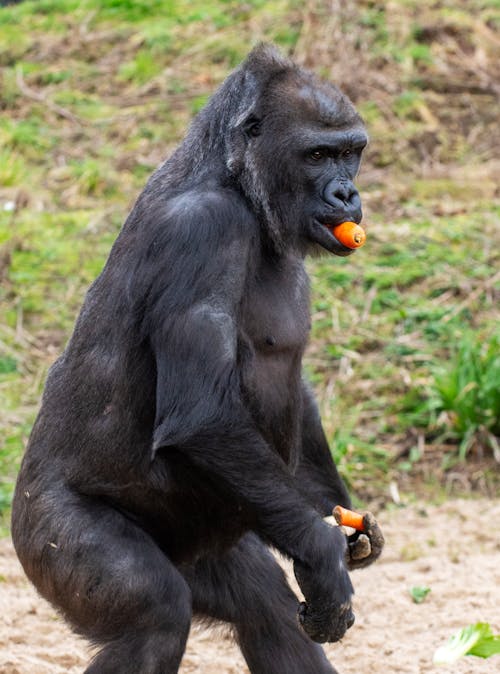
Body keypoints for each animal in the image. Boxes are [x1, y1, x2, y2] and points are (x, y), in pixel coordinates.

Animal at [13, 44, 384, 668]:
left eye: (350, 152)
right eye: (317, 154)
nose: (346, 196)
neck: (233, 178)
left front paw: (338, 514)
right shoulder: (201, 232)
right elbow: (202, 416)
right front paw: (323, 552)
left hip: (212, 541)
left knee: (265, 607)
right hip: (46, 539)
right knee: (155, 615)